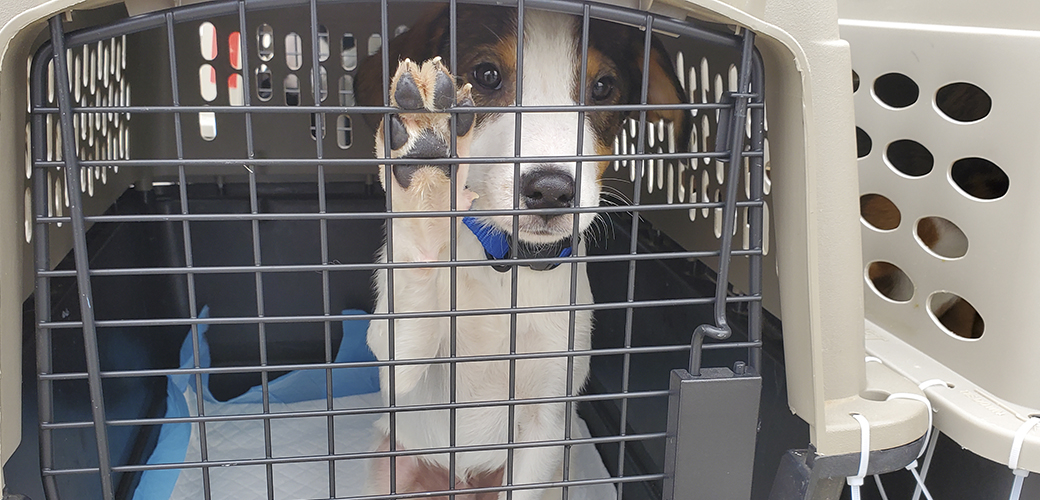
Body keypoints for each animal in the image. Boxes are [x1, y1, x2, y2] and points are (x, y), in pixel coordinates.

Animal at [355, 5, 690, 496]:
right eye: (486, 75)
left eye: (603, 87)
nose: (551, 190)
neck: (505, 263)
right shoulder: (398, 370)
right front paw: (425, 165)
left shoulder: (545, 422)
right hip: (388, 462)